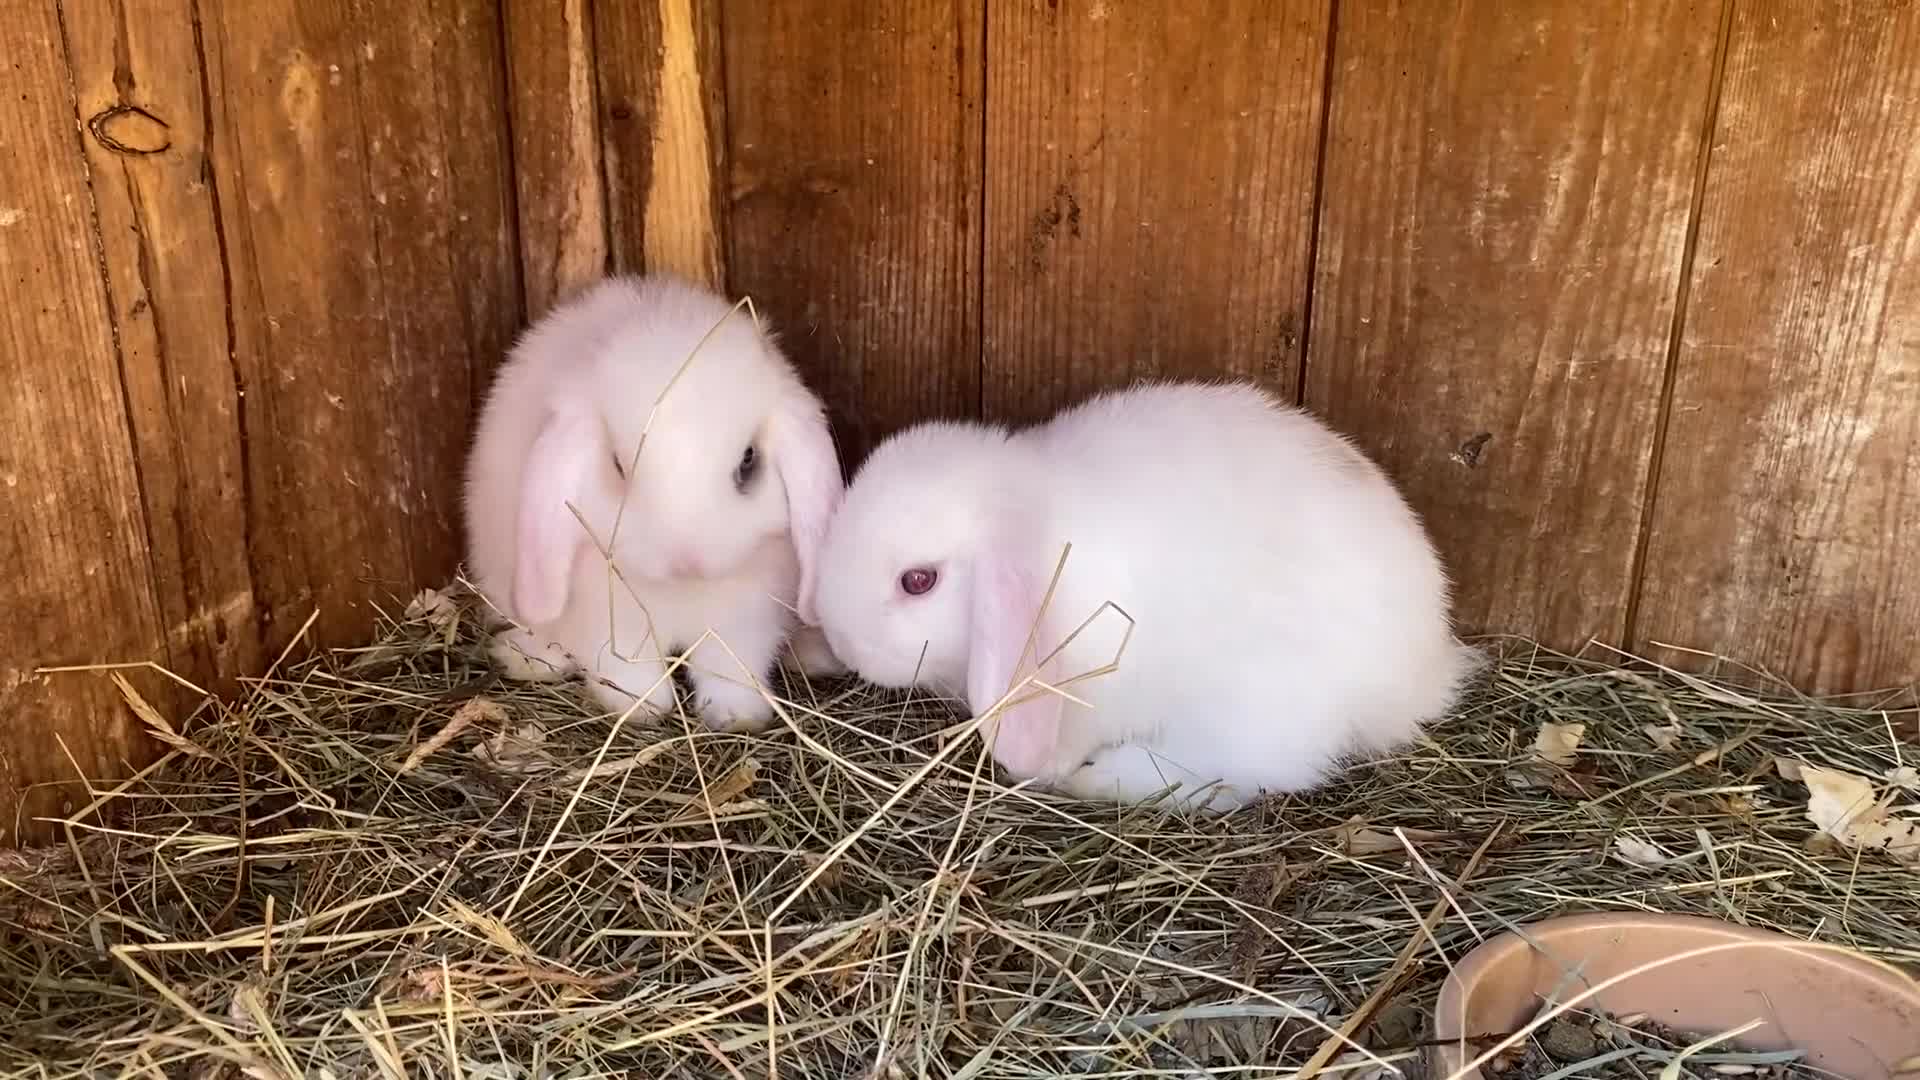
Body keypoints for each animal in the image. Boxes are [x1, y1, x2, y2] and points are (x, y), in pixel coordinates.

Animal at [462, 272, 848, 732]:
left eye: (749, 460)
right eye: (617, 465)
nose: (688, 563)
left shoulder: (744, 622)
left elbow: (731, 669)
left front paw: (737, 715)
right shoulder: (608, 625)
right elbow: (625, 669)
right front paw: (642, 707)